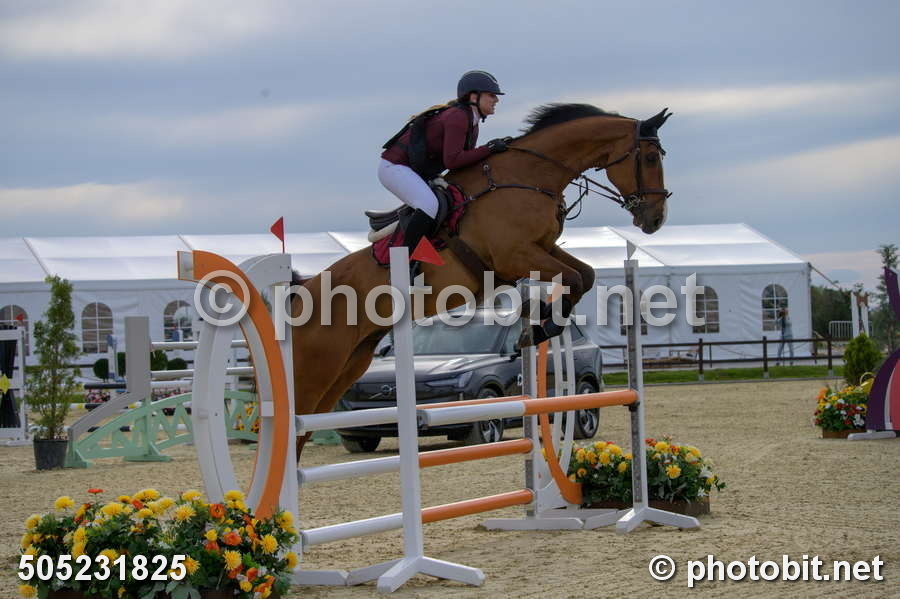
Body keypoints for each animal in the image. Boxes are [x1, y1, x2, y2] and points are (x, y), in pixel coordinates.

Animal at [291, 103, 672, 456]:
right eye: (651, 157)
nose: (655, 219)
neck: (528, 175)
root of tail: (300, 294)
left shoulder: (540, 249)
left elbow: (586, 274)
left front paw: (537, 318)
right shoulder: (515, 254)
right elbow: (575, 277)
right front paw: (539, 326)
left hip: (350, 364)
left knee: (303, 429)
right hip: (317, 367)